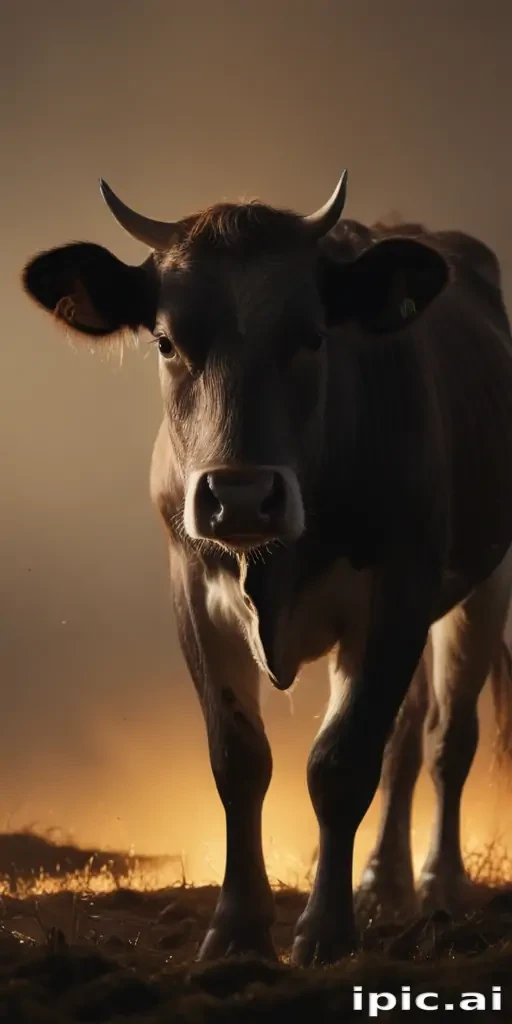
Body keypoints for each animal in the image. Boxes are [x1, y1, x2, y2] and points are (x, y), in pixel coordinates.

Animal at [22, 171, 512, 965]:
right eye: (166, 341)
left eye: (312, 335)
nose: (242, 495)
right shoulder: (193, 593)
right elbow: (239, 759)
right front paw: (238, 929)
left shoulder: (399, 591)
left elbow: (343, 761)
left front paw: (325, 931)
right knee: (408, 738)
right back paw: (384, 884)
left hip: (482, 585)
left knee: (446, 738)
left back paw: (439, 887)